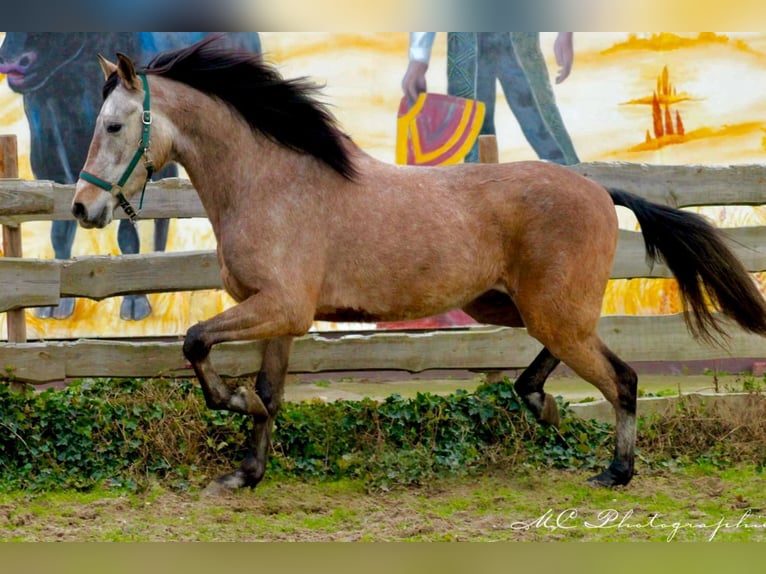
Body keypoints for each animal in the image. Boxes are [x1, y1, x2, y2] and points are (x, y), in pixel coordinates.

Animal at [0, 32, 260, 320]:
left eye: (114, 126)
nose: (12, 63)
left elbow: (128, 234)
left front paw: (136, 301)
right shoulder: (50, 152)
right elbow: (59, 230)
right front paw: (54, 303)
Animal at [69, 37, 764, 496]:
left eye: (114, 125)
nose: (83, 208)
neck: (268, 182)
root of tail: (601, 190)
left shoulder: (278, 307)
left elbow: (194, 345)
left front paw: (235, 408)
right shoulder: (281, 319)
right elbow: (269, 391)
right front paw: (246, 470)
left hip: (551, 311)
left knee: (621, 378)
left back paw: (615, 470)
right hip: (517, 306)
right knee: (562, 364)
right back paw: (542, 407)